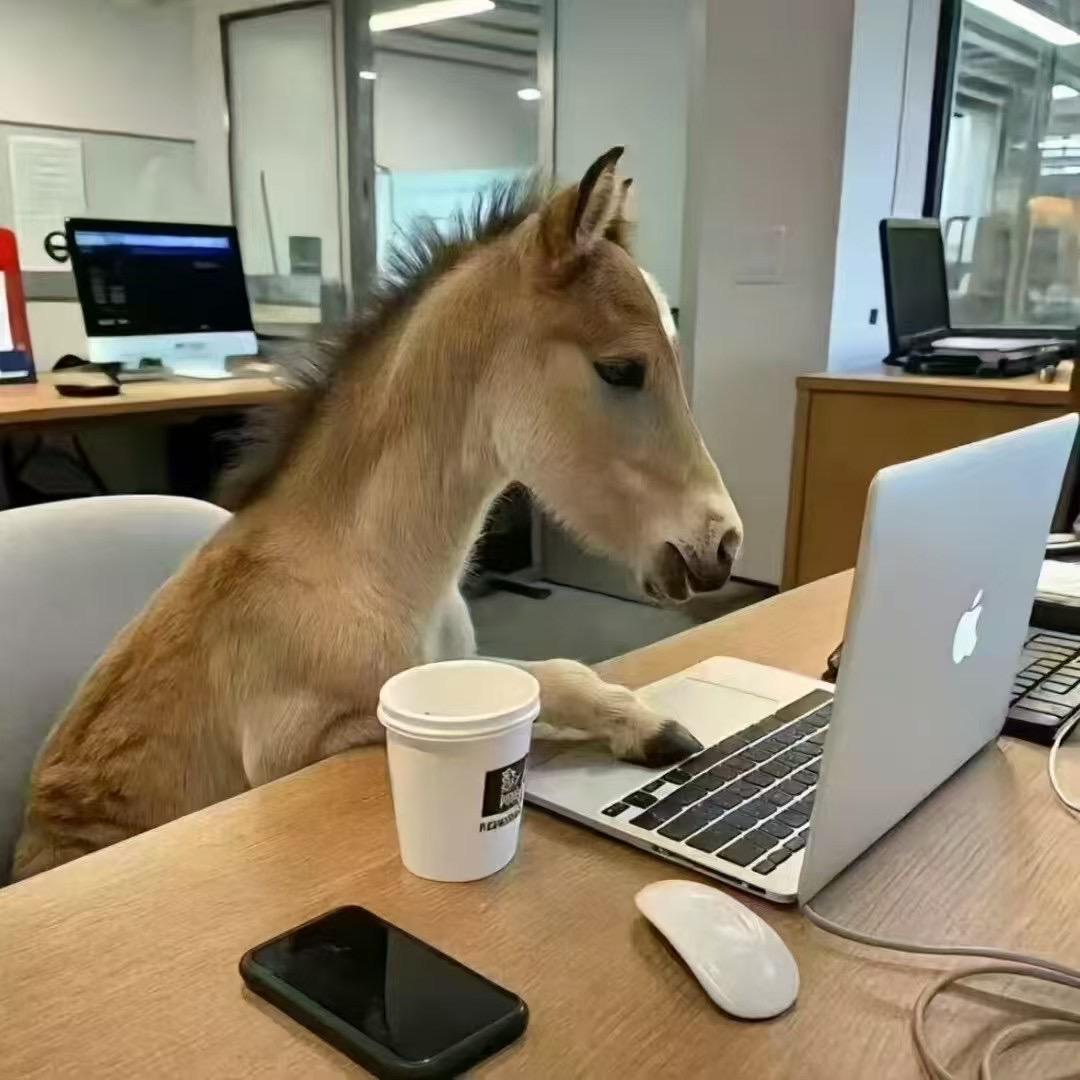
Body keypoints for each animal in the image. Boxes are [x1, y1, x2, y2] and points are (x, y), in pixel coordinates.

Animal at [12, 148, 742, 880]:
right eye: (620, 369)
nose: (722, 543)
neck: (364, 571)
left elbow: (544, 675)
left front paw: (648, 727)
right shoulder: (302, 747)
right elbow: (540, 682)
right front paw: (648, 729)